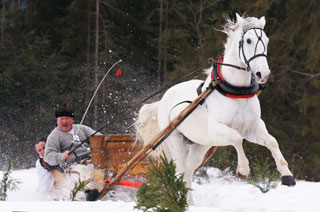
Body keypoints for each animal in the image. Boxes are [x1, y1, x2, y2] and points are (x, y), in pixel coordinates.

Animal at [135, 14, 296, 203]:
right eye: (248, 40)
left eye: (266, 40)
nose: (263, 74)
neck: (236, 91)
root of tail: (164, 98)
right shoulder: (217, 128)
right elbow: (237, 139)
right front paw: (243, 169)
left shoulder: (252, 127)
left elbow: (271, 141)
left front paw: (287, 175)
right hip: (175, 141)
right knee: (181, 171)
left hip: (200, 145)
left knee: (188, 172)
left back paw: (190, 203)